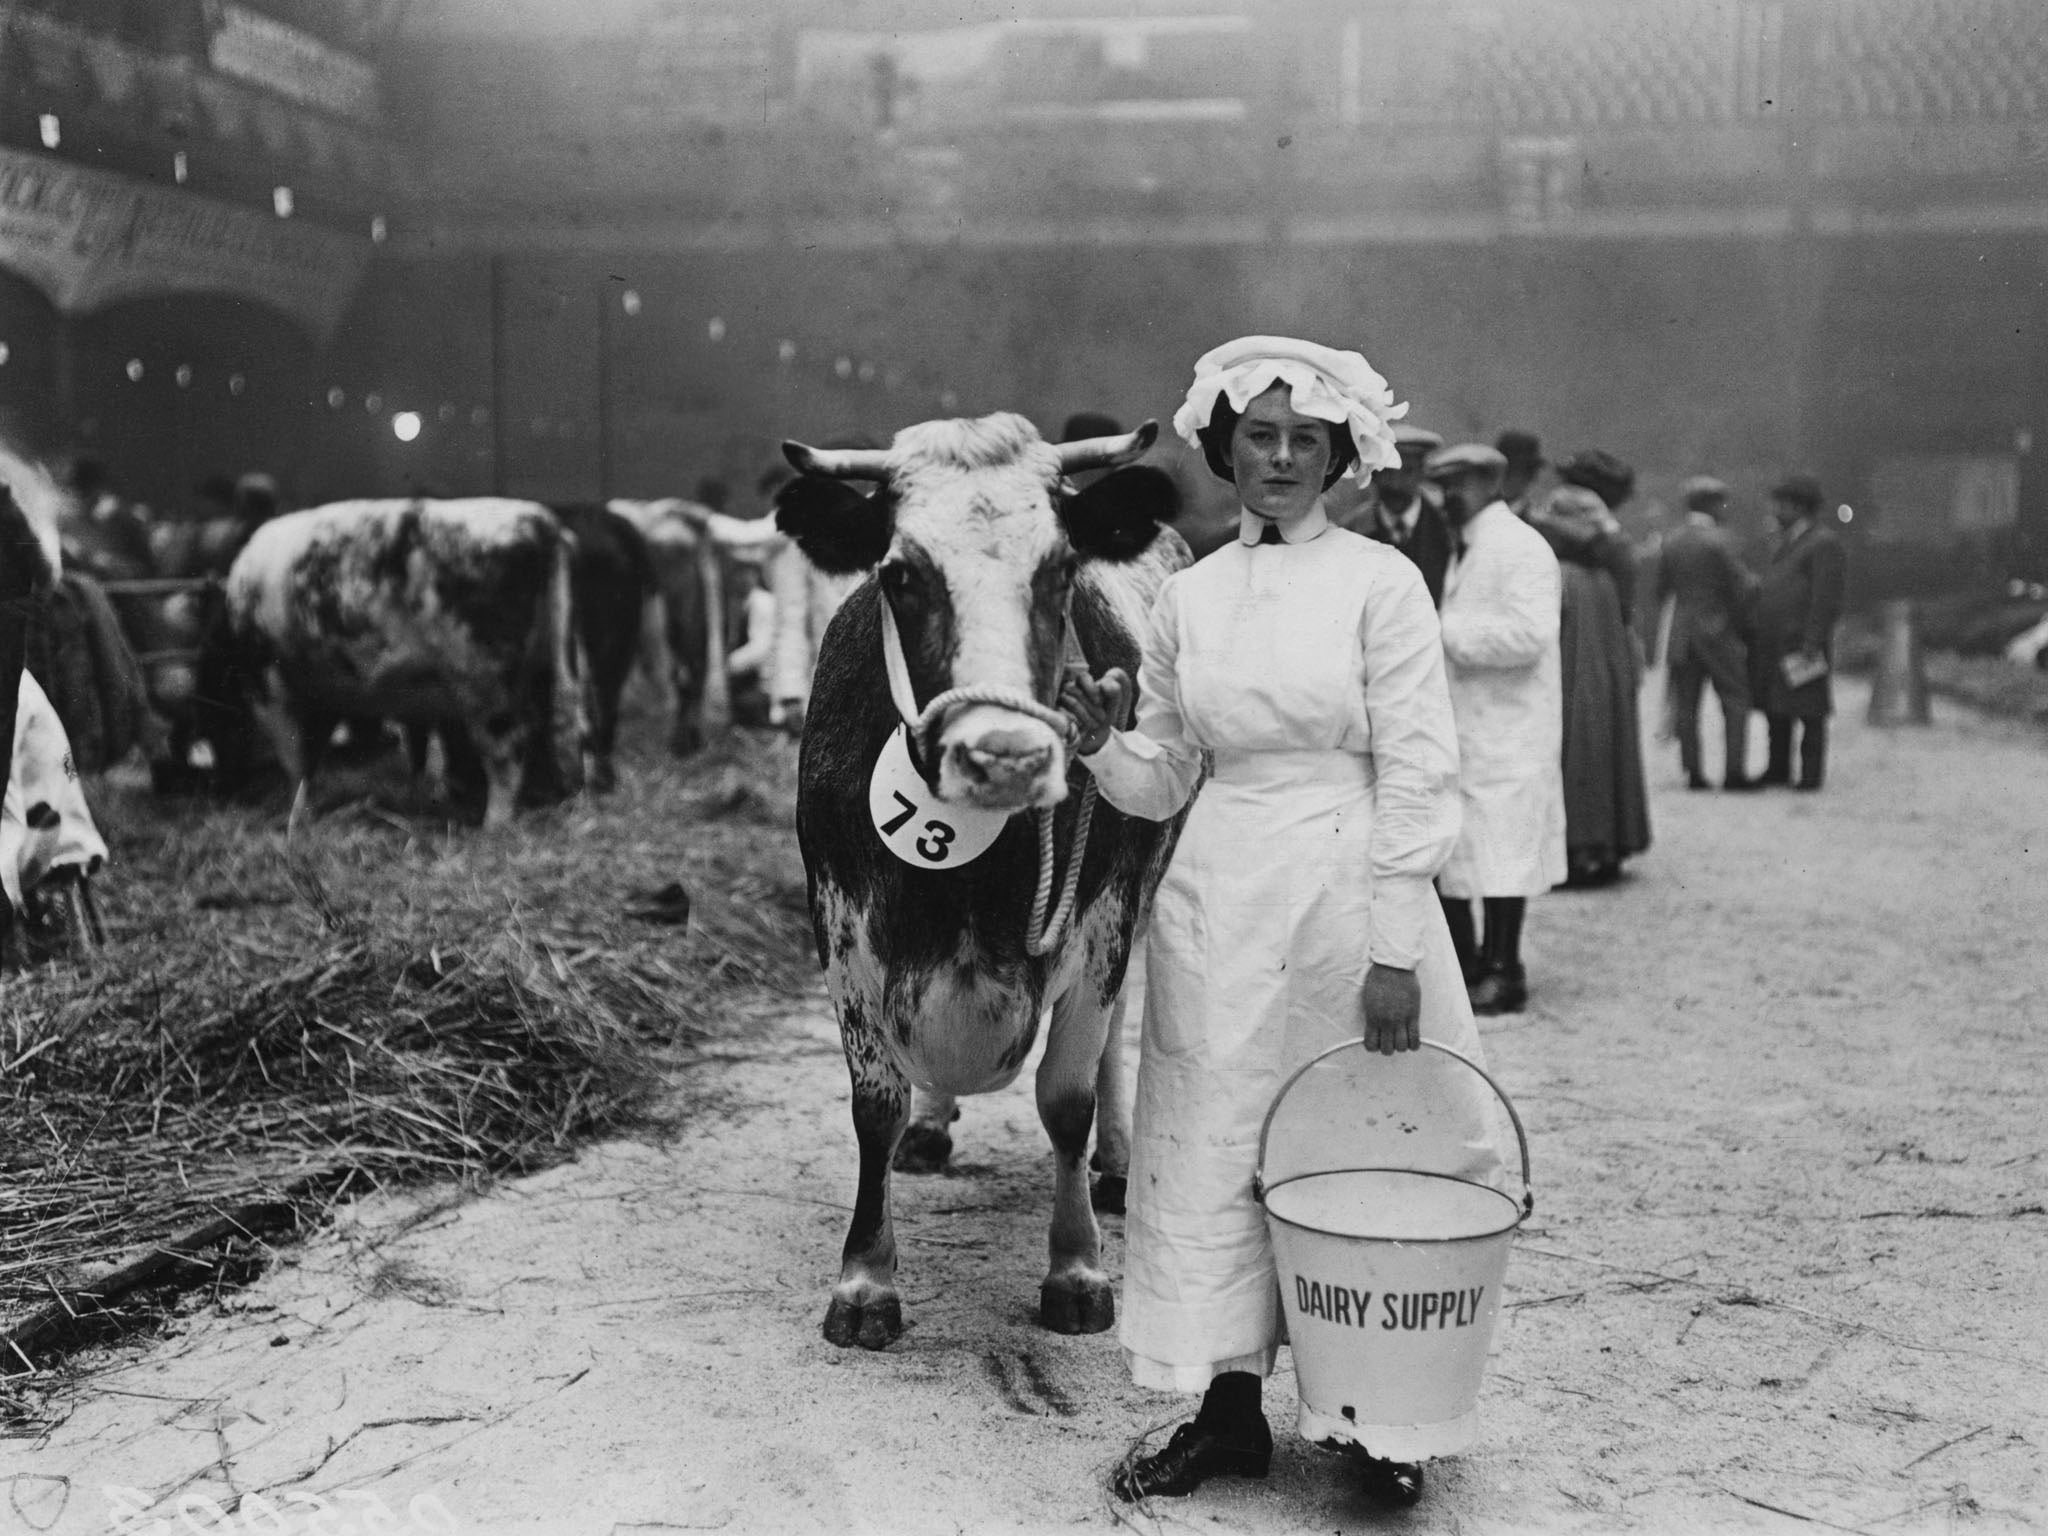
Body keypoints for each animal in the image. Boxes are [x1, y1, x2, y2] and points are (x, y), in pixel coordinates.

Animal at [770, 409, 1196, 1343]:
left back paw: (1117, 1163)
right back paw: (932, 1130)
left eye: (1063, 567)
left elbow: (1066, 1097)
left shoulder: (1103, 918)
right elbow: (875, 1104)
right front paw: (865, 1281)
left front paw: (1076, 1268)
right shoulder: (840, 924)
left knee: (1117, 1030)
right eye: (899, 572)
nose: (1005, 754)